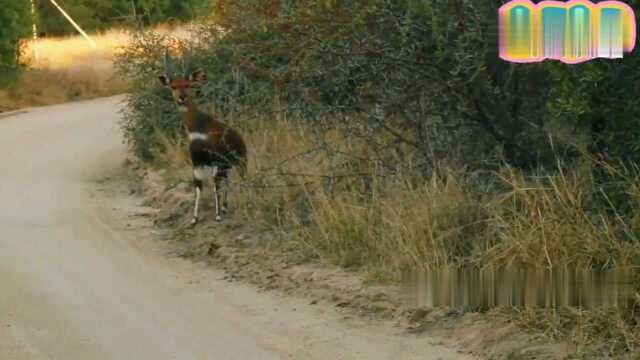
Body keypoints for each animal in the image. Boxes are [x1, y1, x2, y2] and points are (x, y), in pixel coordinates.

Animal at [159, 51, 248, 225]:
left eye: (188, 84)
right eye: (173, 86)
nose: (182, 98)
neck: (199, 127)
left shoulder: (215, 160)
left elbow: (214, 185)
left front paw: (217, 216)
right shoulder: (197, 161)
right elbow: (198, 186)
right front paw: (194, 219)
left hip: (239, 162)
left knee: (236, 179)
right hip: (227, 165)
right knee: (227, 180)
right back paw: (226, 206)